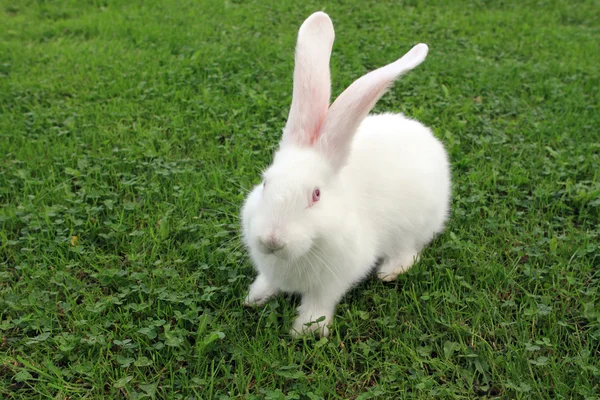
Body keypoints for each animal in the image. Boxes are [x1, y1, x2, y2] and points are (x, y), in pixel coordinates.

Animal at [239, 12, 450, 336]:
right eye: (265, 183)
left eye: (316, 195)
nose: (272, 240)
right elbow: (268, 282)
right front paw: (255, 298)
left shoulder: (333, 280)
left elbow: (319, 302)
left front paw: (307, 330)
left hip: (414, 225)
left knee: (410, 250)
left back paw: (390, 271)